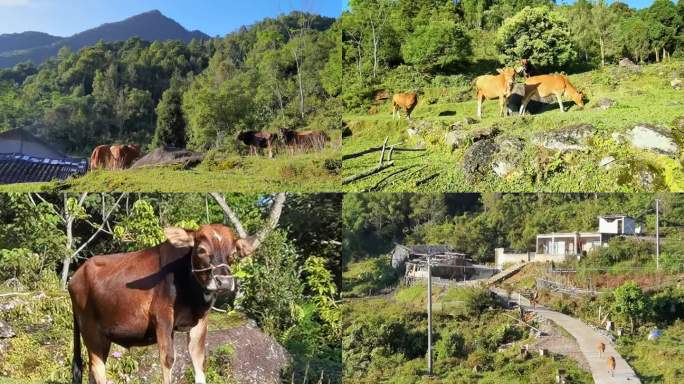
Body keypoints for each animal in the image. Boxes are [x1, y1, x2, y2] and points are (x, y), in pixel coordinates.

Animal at [68, 224, 255, 384]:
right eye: (201, 250)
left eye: (234, 253)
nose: (224, 281)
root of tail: (75, 276)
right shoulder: (162, 317)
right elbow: (168, 359)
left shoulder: (199, 321)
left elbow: (198, 360)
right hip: (91, 331)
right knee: (97, 368)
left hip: (103, 336)